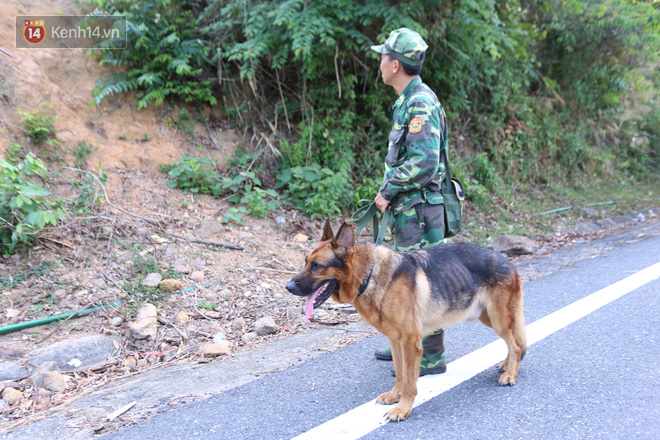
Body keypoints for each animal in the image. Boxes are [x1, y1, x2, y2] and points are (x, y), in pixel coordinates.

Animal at [286, 222, 524, 422]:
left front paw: (403, 408)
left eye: (317, 266)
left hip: (498, 319)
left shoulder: (410, 342)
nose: (288, 287)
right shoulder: (395, 341)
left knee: (515, 344)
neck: (369, 275)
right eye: (305, 262)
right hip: (489, 318)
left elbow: (410, 382)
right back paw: (506, 365)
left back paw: (510, 374)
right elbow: (400, 374)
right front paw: (394, 397)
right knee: (516, 343)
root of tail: (509, 262)